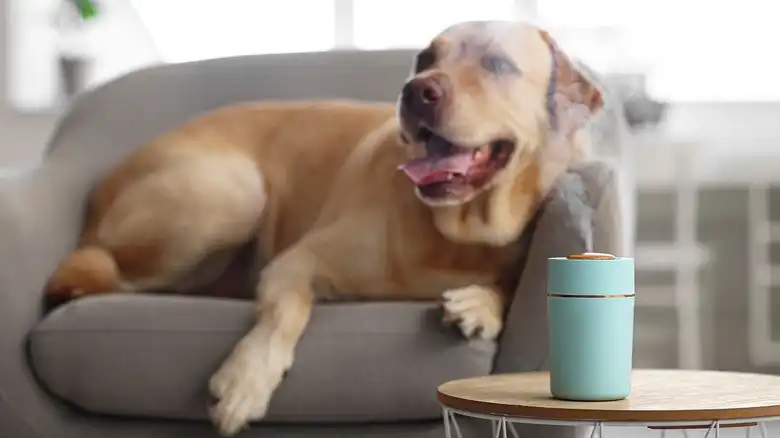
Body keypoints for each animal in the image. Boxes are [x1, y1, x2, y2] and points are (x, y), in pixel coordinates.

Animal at [44, 20, 603, 435]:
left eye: (497, 64)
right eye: (425, 59)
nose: (415, 91)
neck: (458, 231)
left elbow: (510, 282)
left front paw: (480, 303)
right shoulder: (297, 262)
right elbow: (285, 313)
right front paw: (246, 380)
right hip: (235, 191)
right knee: (97, 275)